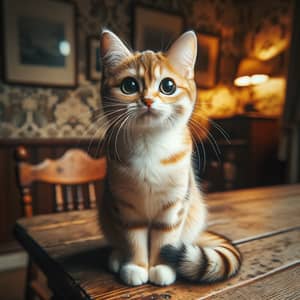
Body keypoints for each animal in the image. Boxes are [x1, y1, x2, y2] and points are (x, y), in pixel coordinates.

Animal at [98, 29, 241, 288]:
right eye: (129, 85)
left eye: (168, 86)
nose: (147, 100)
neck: (149, 144)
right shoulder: (125, 205)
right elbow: (133, 239)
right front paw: (136, 266)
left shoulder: (174, 205)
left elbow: (165, 239)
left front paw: (161, 267)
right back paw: (117, 257)